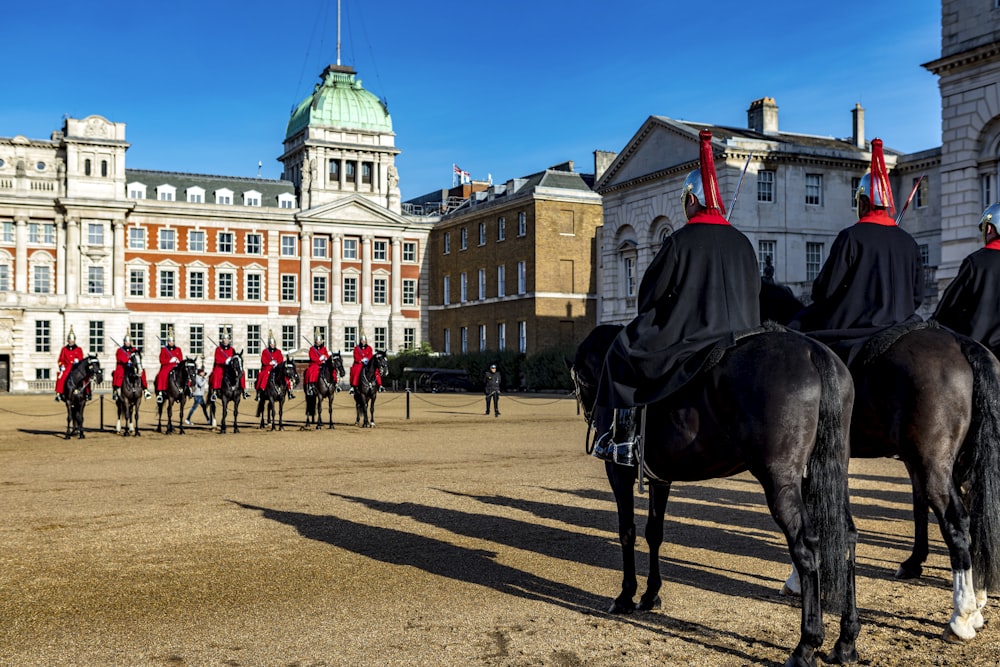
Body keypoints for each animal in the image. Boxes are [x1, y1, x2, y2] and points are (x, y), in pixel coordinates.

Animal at [576, 326, 856, 667]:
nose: (591, 416)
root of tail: (812, 350)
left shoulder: (619, 472)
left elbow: (627, 531)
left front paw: (626, 596)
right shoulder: (660, 478)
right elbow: (654, 532)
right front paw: (650, 594)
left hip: (780, 481)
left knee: (805, 547)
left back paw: (805, 646)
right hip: (833, 471)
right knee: (847, 537)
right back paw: (845, 642)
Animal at [760, 288, 1000, 640]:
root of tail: (960, 342)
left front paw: (796, 580)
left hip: (934, 463)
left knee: (957, 522)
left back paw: (961, 615)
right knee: (979, 514)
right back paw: (977, 596)